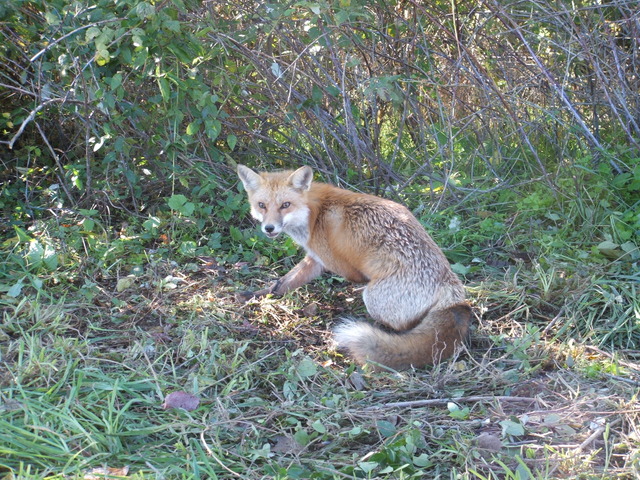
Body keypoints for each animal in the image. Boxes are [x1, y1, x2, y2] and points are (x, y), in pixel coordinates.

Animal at [236, 164, 471, 371]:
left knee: (403, 327)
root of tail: (453, 291)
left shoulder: (336, 263)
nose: (269, 228)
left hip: (373, 297)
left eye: (285, 205)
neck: (313, 214)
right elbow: (282, 284)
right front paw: (255, 295)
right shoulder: (314, 260)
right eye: (262, 205)